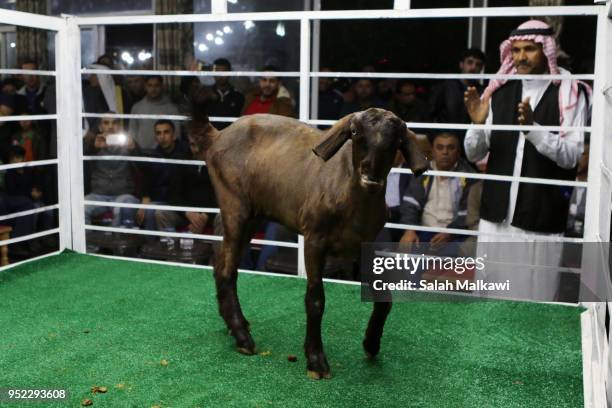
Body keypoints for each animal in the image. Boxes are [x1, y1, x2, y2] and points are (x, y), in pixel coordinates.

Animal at [189, 106, 428, 380]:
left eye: (396, 139)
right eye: (355, 132)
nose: (371, 174)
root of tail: (216, 136)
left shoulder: (363, 244)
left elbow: (383, 296)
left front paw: (371, 344)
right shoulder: (314, 239)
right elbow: (315, 300)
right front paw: (316, 361)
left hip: (252, 216)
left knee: (221, 262)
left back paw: (234, 325)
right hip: (235, 207)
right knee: (227, 269)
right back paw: (243, 337)